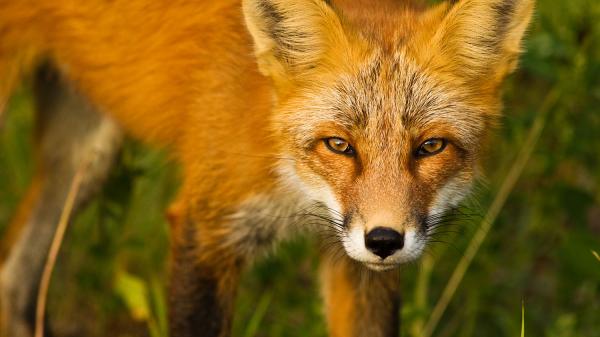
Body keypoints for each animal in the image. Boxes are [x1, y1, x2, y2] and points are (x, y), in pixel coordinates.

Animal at [0, 0, 536, 334]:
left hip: (85, 156)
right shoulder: (207, 227)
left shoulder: (356, 262)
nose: (384, 240)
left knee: (14, 282)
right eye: (339, 145)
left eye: (430, 147)